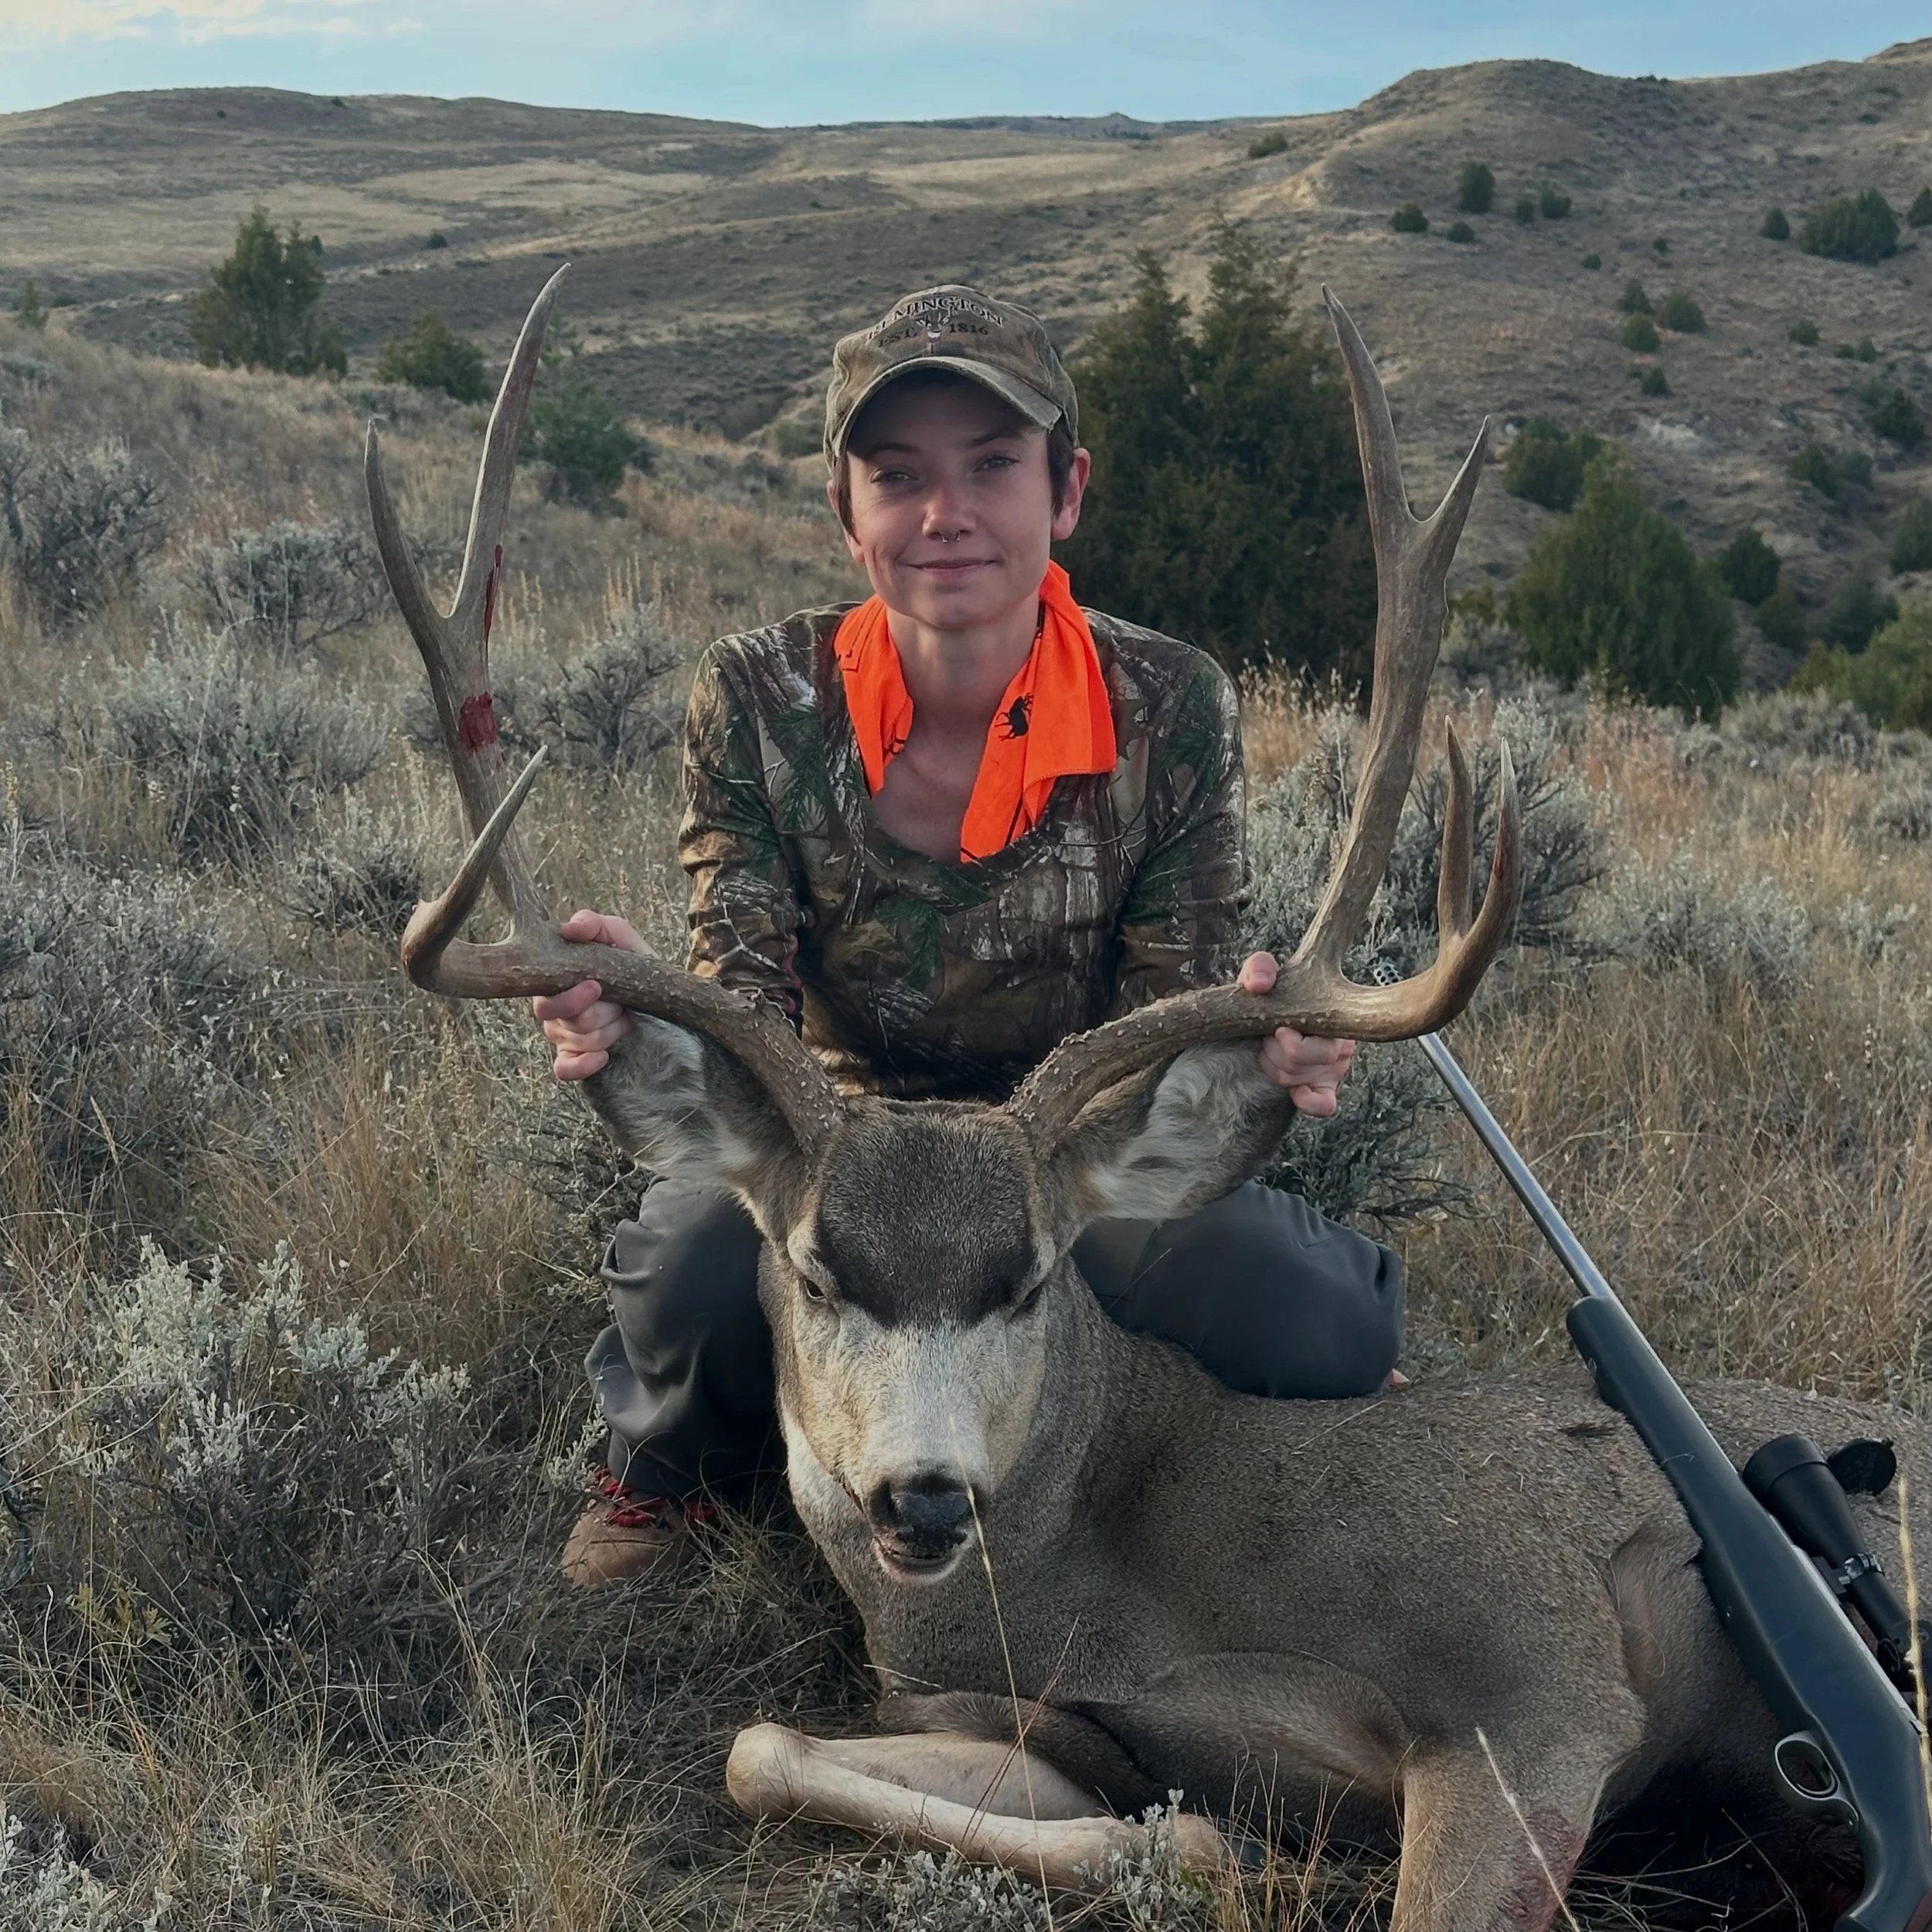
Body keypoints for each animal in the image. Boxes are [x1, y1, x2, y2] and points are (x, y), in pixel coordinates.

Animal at [366, 268, 1927, 1929]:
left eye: (1034, 1273)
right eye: (816, 1267)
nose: (924, 1502)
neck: (1120, 1579)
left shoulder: (1536, 1661)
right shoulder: (1020, 1721)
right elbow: (768, 1749)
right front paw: (1212, 1844)